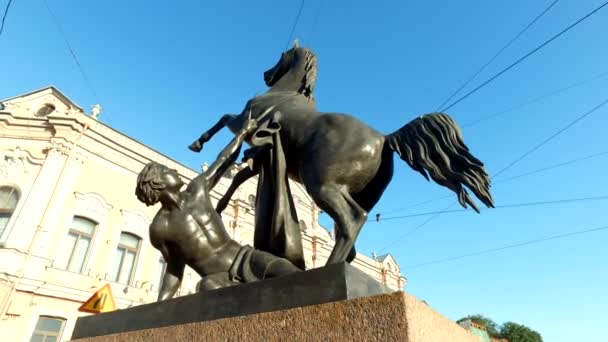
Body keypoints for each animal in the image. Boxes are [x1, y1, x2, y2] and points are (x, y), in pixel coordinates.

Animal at [190, 42, 494, 264]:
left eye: (282, 56)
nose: (266, 74)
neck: (284, 94)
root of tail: (384, 139)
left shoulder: (245, 121)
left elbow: (224, 119)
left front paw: (198, 144)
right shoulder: (262, 152)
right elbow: (239, 175)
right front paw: (220, 203)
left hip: (321, 185)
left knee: (352, 220)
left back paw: (328, 269)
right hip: (358, 193)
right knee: (353, 228)